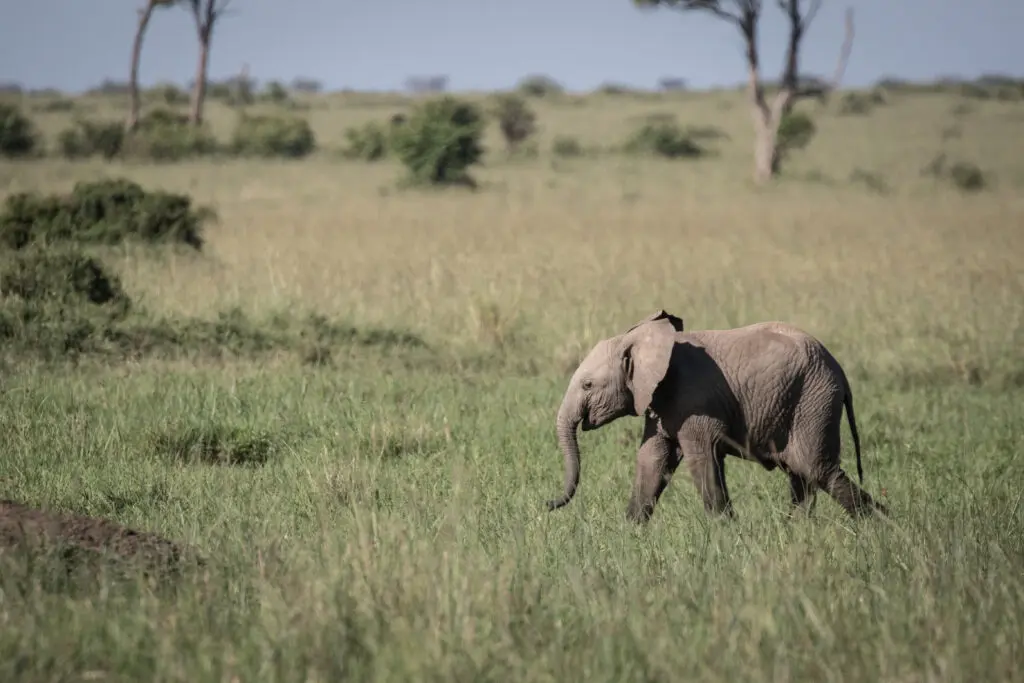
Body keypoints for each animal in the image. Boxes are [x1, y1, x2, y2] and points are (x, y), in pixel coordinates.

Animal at [547, 310, 888, 524]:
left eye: (588, 385)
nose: (547, 504)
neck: (646, 340)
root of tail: (840, 372)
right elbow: (651, 459)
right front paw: (629, 532)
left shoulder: (694, 400)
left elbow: (702, 459)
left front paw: (728, 534)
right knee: (802, 475)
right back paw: (798, 531)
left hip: (812, 401)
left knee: (817, 469)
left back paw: (881, 528)